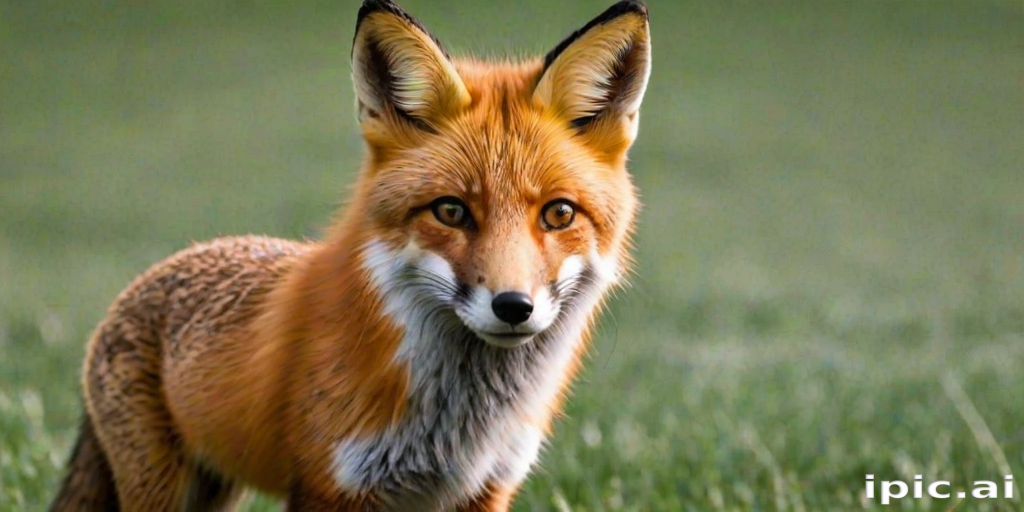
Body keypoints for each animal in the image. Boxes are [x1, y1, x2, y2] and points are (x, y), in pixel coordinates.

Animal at [49, 0, 651, 510]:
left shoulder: (485, 489)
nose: (513, 307)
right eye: (451, 211)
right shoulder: (330, 484)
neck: (455, 428)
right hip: (164, 488)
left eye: (559, 214)